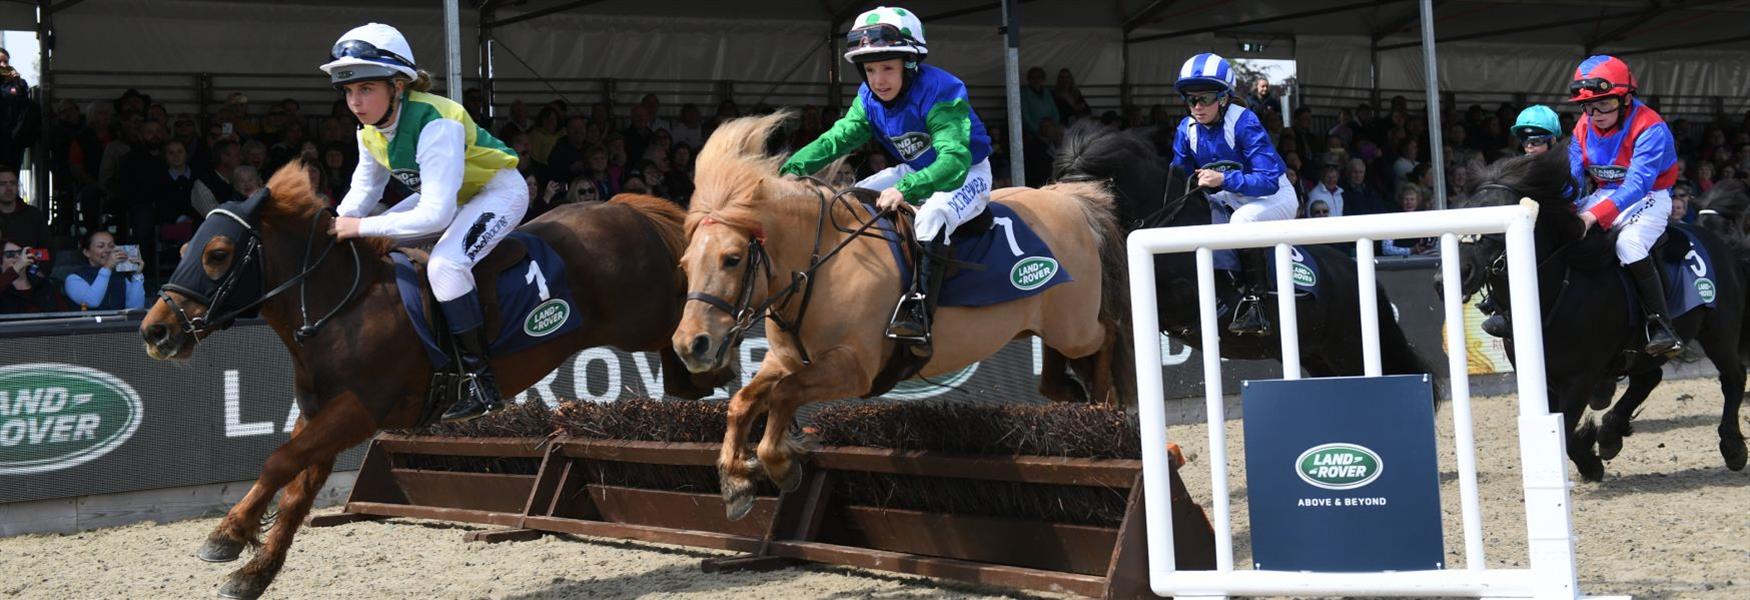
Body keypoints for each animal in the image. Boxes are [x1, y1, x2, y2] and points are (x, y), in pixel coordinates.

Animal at [138, 161, 731, 598]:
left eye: (217, 254)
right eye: (185, 249)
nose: (155, 331)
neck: (337, 309)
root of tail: (624, 206)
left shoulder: (359, 411)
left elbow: (278, 462)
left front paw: (227, 535)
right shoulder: (322, 418)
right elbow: (295, 491)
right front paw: (251, 571)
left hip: (645, 313)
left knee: (697, 313)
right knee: (685, 368)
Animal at [668, 113, 1134, 521]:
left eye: (732, 259)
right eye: (685, 263)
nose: (690, 345)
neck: (822, 265)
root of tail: (1070, 199)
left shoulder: (853, 369)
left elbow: (784, 395)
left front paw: (778, 465)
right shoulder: (783, 359)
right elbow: (742, 402)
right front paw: (737, 482)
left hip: (1075, 325)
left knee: (1110, 335)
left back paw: (1106, 404)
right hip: (1052, 324)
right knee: (1056, 373)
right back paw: (1074, 398)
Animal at [1050, 124, 1435, 381]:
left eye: (1091, 204)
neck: (1168, 218)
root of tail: (1357, 274)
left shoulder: (1184, 297)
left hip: (1348, 348)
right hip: (1318, 355)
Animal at [1449, 147, 1750, 482]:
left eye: (1498, 220)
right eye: (1465, 212)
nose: (1459, 273)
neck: (1561, 287)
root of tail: (1720, 243)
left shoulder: (1580, 378)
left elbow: (1565, 430)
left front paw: (1589, 463)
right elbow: (1560, 425)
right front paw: (1593, 452)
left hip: (1719, 332)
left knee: (1733, 377)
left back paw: (1733, 448)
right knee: (1649, 378)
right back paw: (1610, 435)